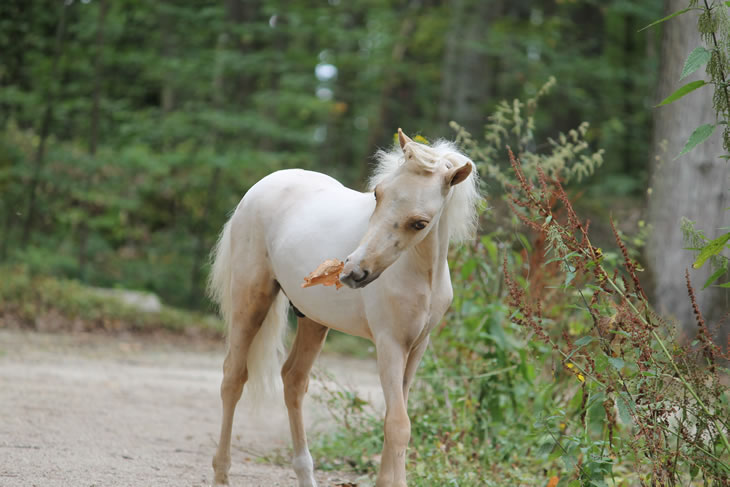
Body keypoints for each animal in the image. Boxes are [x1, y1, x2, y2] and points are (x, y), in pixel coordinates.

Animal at [206, 131, 478, 487]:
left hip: (313, 320)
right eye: (378, 193)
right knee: (233, 379)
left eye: (420, 223)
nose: (353, 272)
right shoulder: (389, 344)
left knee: (293, 380)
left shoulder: (416, 346)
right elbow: (399, 425)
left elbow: (394, 418)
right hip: (250, 302)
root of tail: (263, 185)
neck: (421, 275)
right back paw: (222, 473)